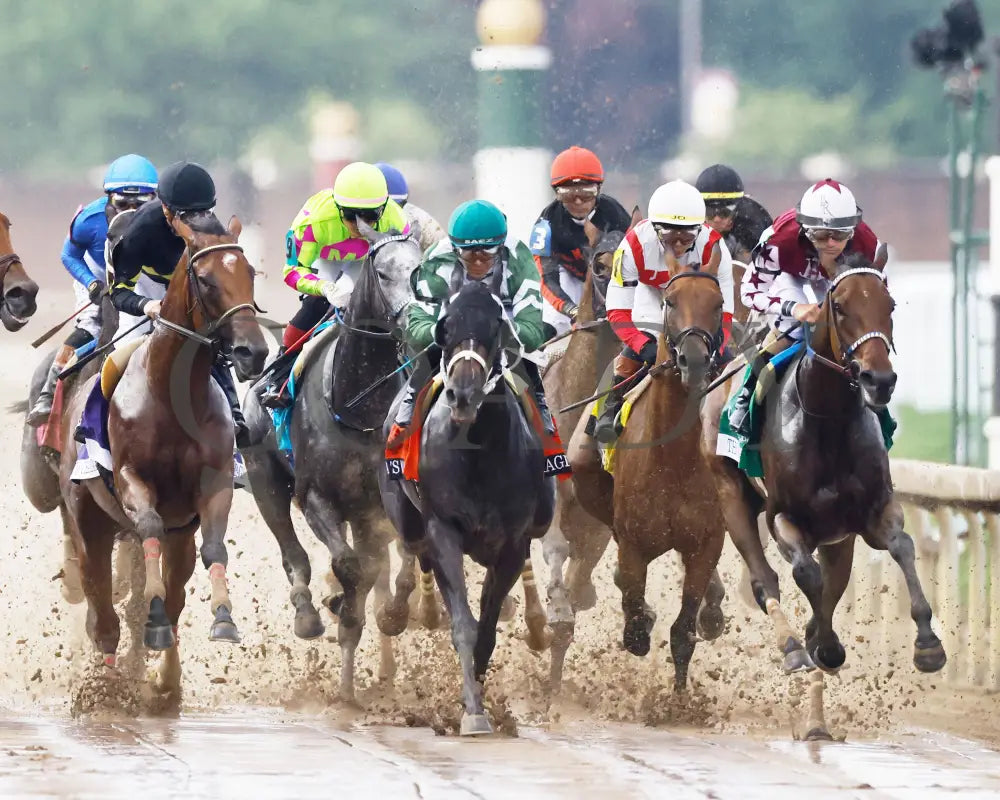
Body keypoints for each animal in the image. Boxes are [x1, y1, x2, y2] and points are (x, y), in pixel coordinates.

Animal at [59, 214, 266, 692]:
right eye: (206, 280)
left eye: (250, 273)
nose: (254, 351)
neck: (173, 397)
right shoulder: (131, 479)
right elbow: (149, 525)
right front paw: (150, 622)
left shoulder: (213, 485)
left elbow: (214, 549)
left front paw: (223, 619)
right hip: (87, 519)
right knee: (101, 609)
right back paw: (108, 684)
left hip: (178, 536)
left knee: (171, 594)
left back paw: (164, 678)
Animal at [242, 222, 422, 704]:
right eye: (383, 272)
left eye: (420, 269)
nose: (417, 322)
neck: (359, 406)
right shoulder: (316, 498)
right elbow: (349, 566)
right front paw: (339, 608)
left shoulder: (387, 501)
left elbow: (401, 558)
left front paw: (392, 613)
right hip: (265, 481)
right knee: (294, 555)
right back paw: (309, 612)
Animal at [378, 280, 560, 732]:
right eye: (445, 327)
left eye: (496, 328)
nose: (462, 394)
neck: (478, 454)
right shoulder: (443, 530)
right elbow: (464, 624)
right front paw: (473, 711)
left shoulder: (512, 543)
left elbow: (487, 631)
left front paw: (479, 699)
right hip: (408, 519)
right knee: (416, 550)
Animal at [568, 266, 732, 692]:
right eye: (670, 301)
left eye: (719, 304)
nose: (695, 361)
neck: (672, 459)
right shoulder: (634, 544)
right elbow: (635, 624)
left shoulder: (705, 543)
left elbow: (683, 631)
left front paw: (678, 700)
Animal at [712, 250, 944, 736]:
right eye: (838, 307)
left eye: (890, 305)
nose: (879, 379)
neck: (828, 420)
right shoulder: (784, 518)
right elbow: (807, 576)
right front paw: (824, 645)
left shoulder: (873, 511)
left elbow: (903, 547)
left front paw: (929, 644)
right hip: (730, 494)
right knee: (765, 578)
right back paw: (794, 647)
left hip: (839, 538)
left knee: (833, 584)